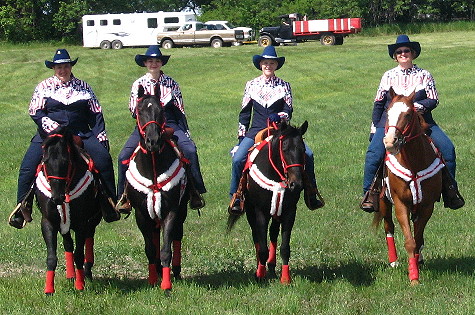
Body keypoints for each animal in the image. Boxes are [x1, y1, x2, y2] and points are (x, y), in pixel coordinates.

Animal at [36, 128, 107, 296]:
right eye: (45, 162)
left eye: (66, 162)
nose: (57, 197)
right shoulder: (48, 222)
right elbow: (52, 257)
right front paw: (49, 289)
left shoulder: (81, 223)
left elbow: (79, 255)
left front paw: (80, 285)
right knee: (68, 244)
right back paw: (70, 275)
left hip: (92, 220)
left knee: (89, 238)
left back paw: (87, 272)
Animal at [123, 85, 189, 292]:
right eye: (139, 111)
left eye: (161, 111)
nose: (153, 141)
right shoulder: (141, 214)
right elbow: (150, 249)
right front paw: (153, 279)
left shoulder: (172, 210)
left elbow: (166, 248)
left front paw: (166, 284)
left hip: (181, 210)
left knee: (177, 236)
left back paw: (176, 270)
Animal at [230, 121, 310, 284]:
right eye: (284, 149)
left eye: (303, 149)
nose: (296, 184)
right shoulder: (260, 212)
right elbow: (262, 247)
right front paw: (260, 275)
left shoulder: (289, 212)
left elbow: (285, 247)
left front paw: (285, 278)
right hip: (251, 211)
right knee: (256, 236)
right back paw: (260, 268)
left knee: (273, 233)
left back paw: (272, 268)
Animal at [374, 89, 444, 286]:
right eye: (388, 112)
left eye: (408, 114)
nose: (390, 142)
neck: (414, 163)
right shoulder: (400, 204)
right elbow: (409, 241)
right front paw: (414, 278)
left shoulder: (427, 206)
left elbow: (418, 239)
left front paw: (417, 265)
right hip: (383, 201)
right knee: (388, 227)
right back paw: (394, 261)